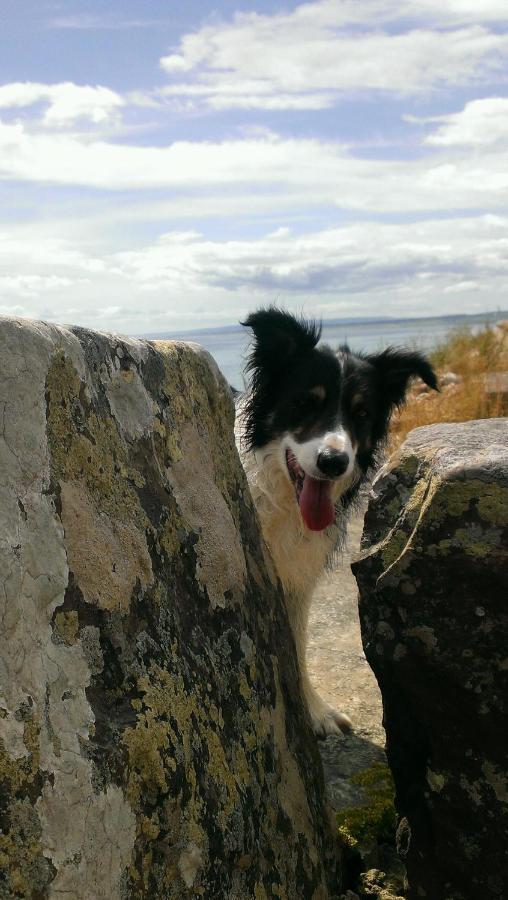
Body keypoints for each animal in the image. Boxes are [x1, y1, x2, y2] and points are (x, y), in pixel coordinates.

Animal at [236, 310, 438, 740]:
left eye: (361, 414)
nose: (333, 462)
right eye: (304, 403)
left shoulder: (296, 578)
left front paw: (314, 712)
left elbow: (296, 644)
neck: (280, 497)